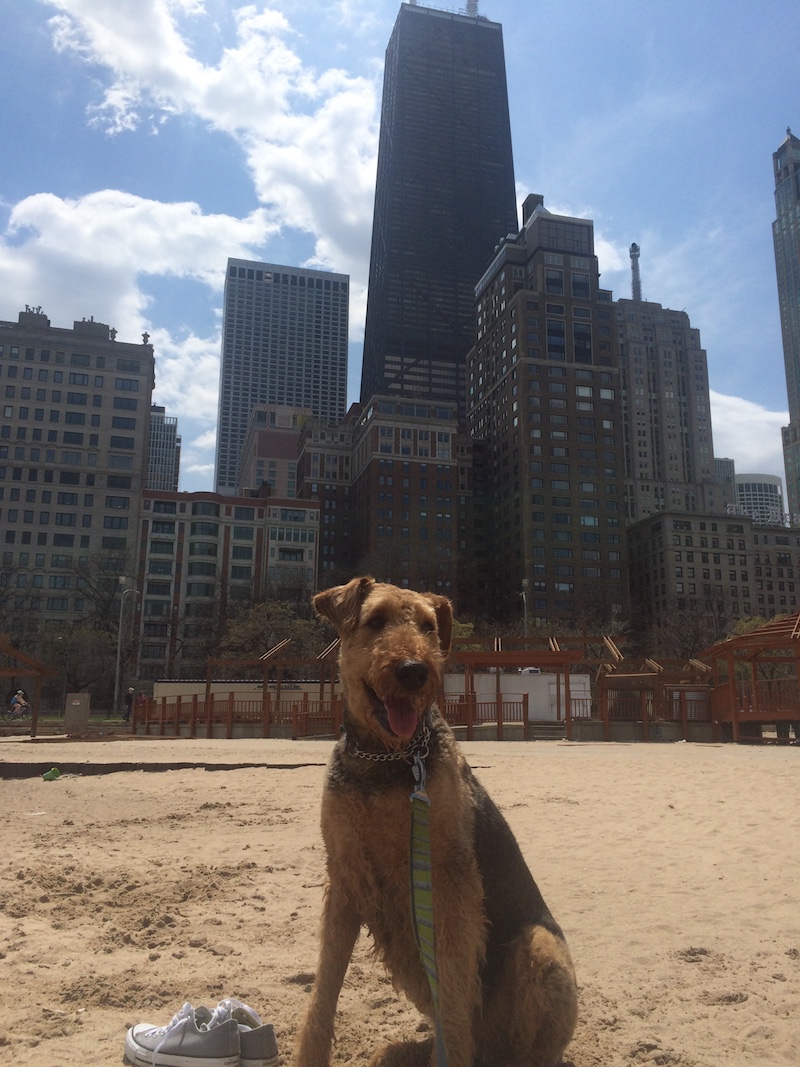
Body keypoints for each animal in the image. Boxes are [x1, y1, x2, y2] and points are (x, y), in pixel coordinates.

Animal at [294, 580, 576, 1062]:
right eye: (376, 620)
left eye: (428, 626)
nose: (413, 670)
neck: (388, 756)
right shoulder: (346, 874)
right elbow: (325, 986)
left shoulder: (450, 880)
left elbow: (453, 988)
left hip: (542, 948)